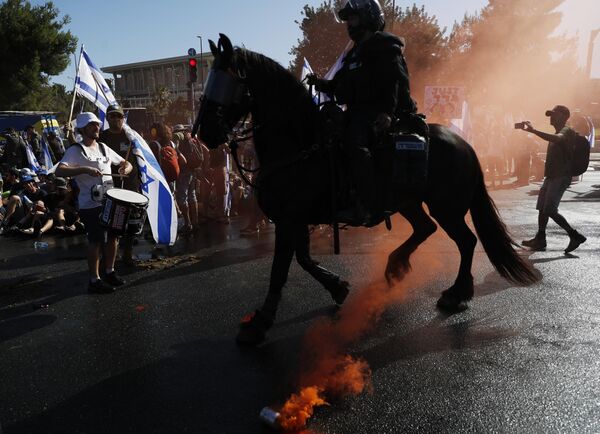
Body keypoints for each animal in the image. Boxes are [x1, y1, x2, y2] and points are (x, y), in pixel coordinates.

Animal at [197, 34, 540, 346]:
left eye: (227, 80)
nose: (204, 132)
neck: (301, 146)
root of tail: (465, 144)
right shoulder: (296, 219)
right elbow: (304, 259)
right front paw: (338, 287)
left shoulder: (288, 220)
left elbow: (280, 269)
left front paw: (259, 323)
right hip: (409, 201)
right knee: (425, 229)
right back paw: (396, 266)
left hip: (446, 207)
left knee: (466, 241)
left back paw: (456, 294)